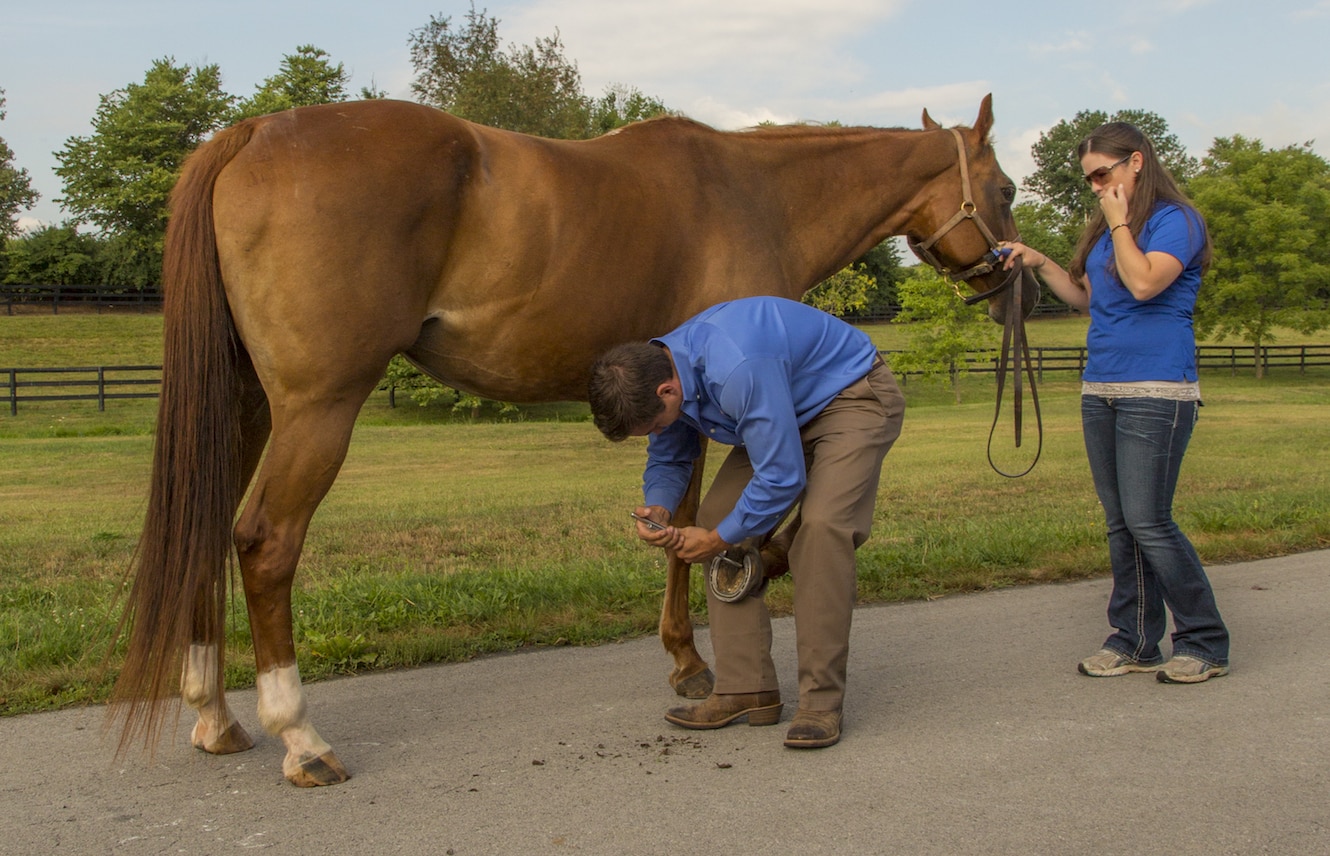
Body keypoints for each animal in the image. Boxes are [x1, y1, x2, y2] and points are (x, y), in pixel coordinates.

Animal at [111, 91, 1026, 781]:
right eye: (1009, 188)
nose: (1008, 280)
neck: (754, 190)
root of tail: (253, 131)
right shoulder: (710, 402)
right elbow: (700, 521)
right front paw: (698, 647)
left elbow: (685, 520)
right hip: (316, 407)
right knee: (264, 541)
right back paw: (299, 737)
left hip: (244, 405)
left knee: (204, 527)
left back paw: (214, 716)